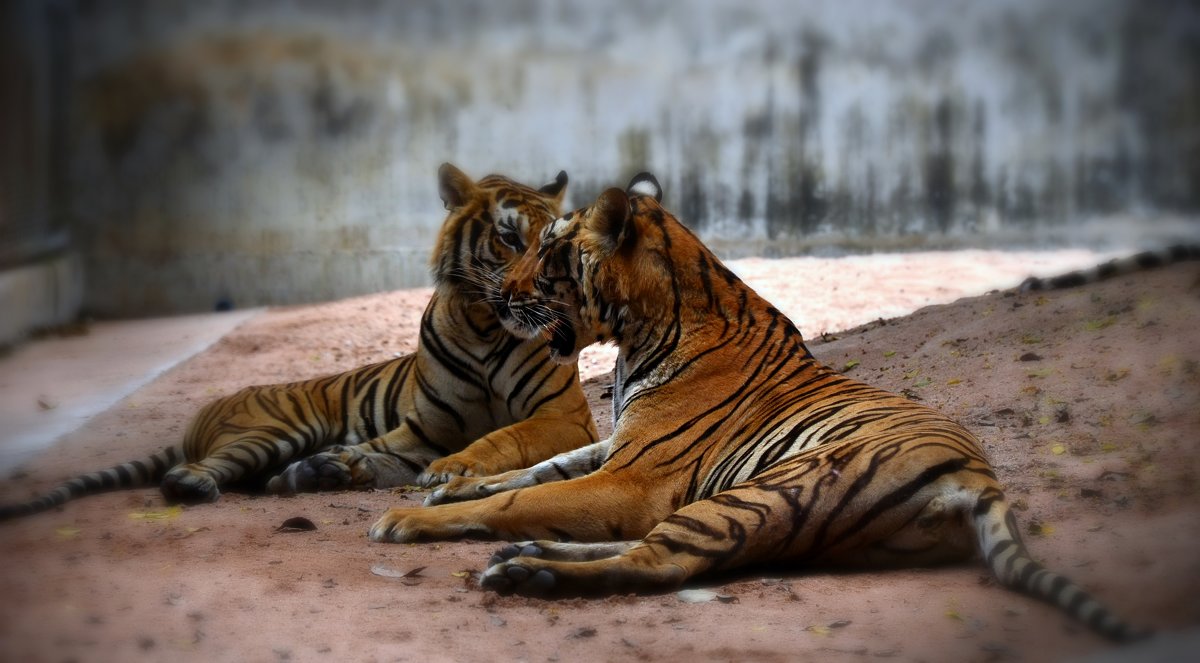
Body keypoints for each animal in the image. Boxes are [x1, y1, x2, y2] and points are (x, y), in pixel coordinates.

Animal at [0, 163, 600, 521]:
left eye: (556, 239)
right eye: (509, 238)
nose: (548, 290)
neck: (484, 322)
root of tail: (205, 413)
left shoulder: (564, 416)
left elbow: (503, 436)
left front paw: (447, 468)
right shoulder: (427, 429)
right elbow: (396, 447)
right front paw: (368, 463)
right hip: (276, 428)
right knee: (195, 471)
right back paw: (226, 480)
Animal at [369, 170, 1147, 643]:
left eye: (551, 253)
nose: (501, 298)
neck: (639, 328)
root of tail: (978, 475)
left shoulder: (634, 477)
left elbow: (522, 496)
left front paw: (410, 517)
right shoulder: (615, 446)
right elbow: (534, 473)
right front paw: (449, 483)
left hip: (765, 491)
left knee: (663, 561)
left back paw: (526, 570)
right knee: (658, 547)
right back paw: (527, 554)